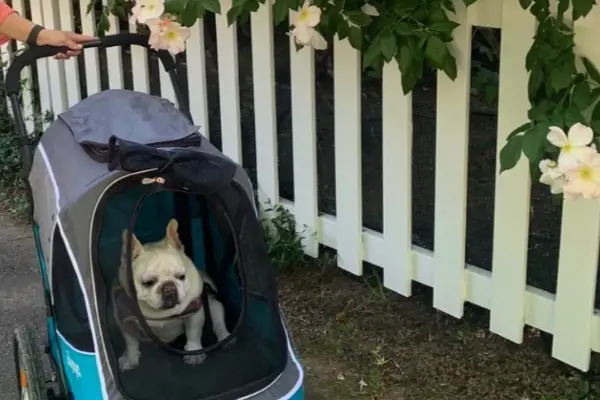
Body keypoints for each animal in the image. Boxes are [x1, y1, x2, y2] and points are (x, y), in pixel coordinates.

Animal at [112, 219, 232, 372]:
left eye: (181, 276)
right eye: (148, 283)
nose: (169, 288)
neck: (159, 313)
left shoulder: (194, 313)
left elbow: (193, 333)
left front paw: (194, 353)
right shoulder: (124, 322)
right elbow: (130, 341)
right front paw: (130, 358)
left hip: (213, 304)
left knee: (218, 322)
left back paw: (225, 338)